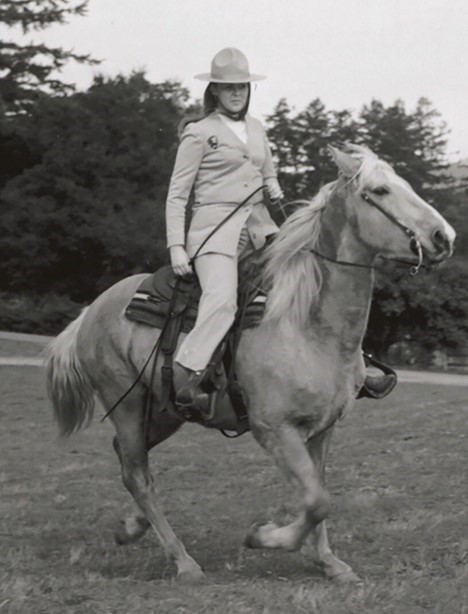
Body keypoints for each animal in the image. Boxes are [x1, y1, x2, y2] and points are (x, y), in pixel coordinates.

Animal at [45, 147, 456, 584]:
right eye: (379, 190)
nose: (443, 237)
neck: (307, 324)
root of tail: (92, 309)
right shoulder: (274, 429)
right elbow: (316, 500)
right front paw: (264, 537)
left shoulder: (322, 431)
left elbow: (320, 496)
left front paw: (328, 562)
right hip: (126, 403)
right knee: (137, 474)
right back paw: (183, 561)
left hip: (164, 411)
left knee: (128, 459)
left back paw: (131, 527)